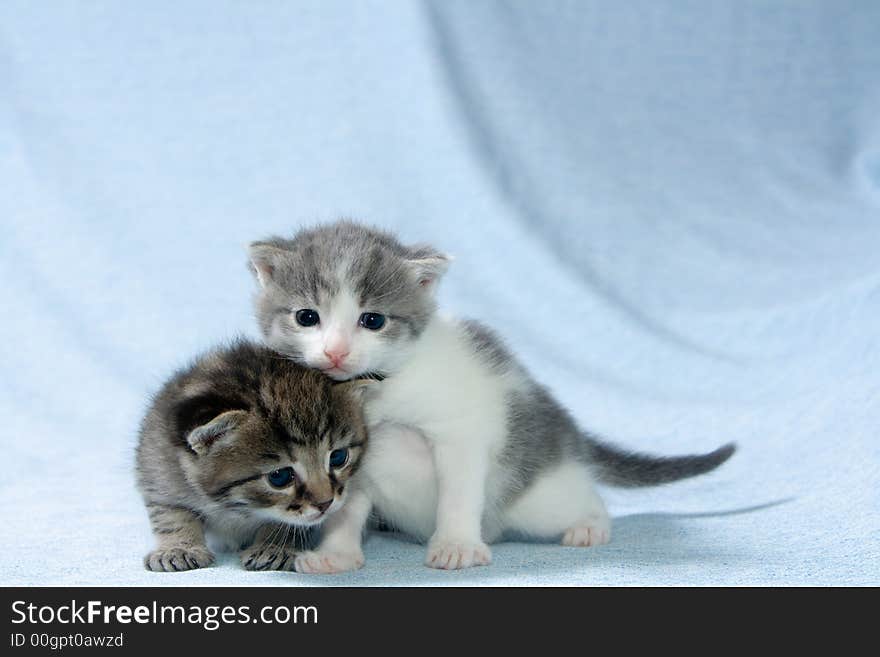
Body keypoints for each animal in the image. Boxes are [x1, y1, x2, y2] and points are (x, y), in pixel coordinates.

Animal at [136, 338, 370, 568]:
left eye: (338, 457)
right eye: (279, 477)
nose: (325, 503)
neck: (236, 508)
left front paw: (274, 547)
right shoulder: (158, 466)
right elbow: (170, 514)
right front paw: (178, 548)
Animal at [248, 220, 736, 568]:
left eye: (372, 320)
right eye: (307, 317)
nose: (336, 351)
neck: (378, 395)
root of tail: (568, 433)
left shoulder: (461, 435)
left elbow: (459, 493)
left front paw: (457, 545)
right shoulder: (350, 455)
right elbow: (345, 508)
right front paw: (336, 555)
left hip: (538, 499)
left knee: (585, 499)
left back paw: (590, 527)